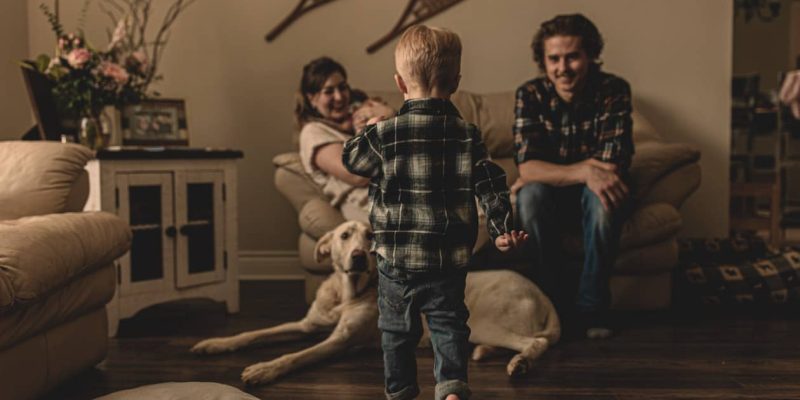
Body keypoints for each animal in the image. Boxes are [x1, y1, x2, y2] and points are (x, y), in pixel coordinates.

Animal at [191, 220, 560, 386]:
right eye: (344, 236)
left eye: (371, 236)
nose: (358, 256)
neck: (346, 295)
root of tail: (544, 296)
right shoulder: (308, 325)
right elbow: (255, 333)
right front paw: (216, 343)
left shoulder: (339, 341)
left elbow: (295, 356)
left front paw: (264, 369)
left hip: (484, 321)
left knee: (536, 342)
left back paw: (520, 364)